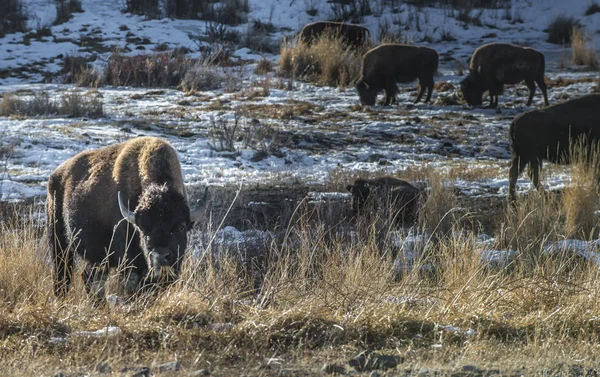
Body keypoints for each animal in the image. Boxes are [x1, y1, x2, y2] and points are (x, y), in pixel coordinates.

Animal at [45, 136, 205, 302]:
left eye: (181, 227)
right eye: (143, 229)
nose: (160, 257)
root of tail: (55, 176)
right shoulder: (130, 264)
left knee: (90, 277)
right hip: (59, 243)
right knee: (63, 275)